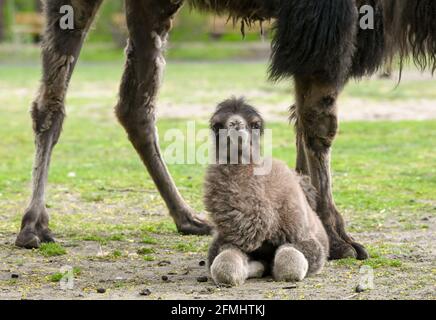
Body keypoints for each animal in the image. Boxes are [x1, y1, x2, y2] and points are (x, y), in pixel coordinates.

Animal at [206, 98, 328, 284]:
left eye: (256, 124)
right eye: (216, 125)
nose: (236, 124)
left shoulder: (305, 239)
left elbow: (289, 264)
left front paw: (269, 267)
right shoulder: (226, 242)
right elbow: (224, 266)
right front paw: (257, 267)